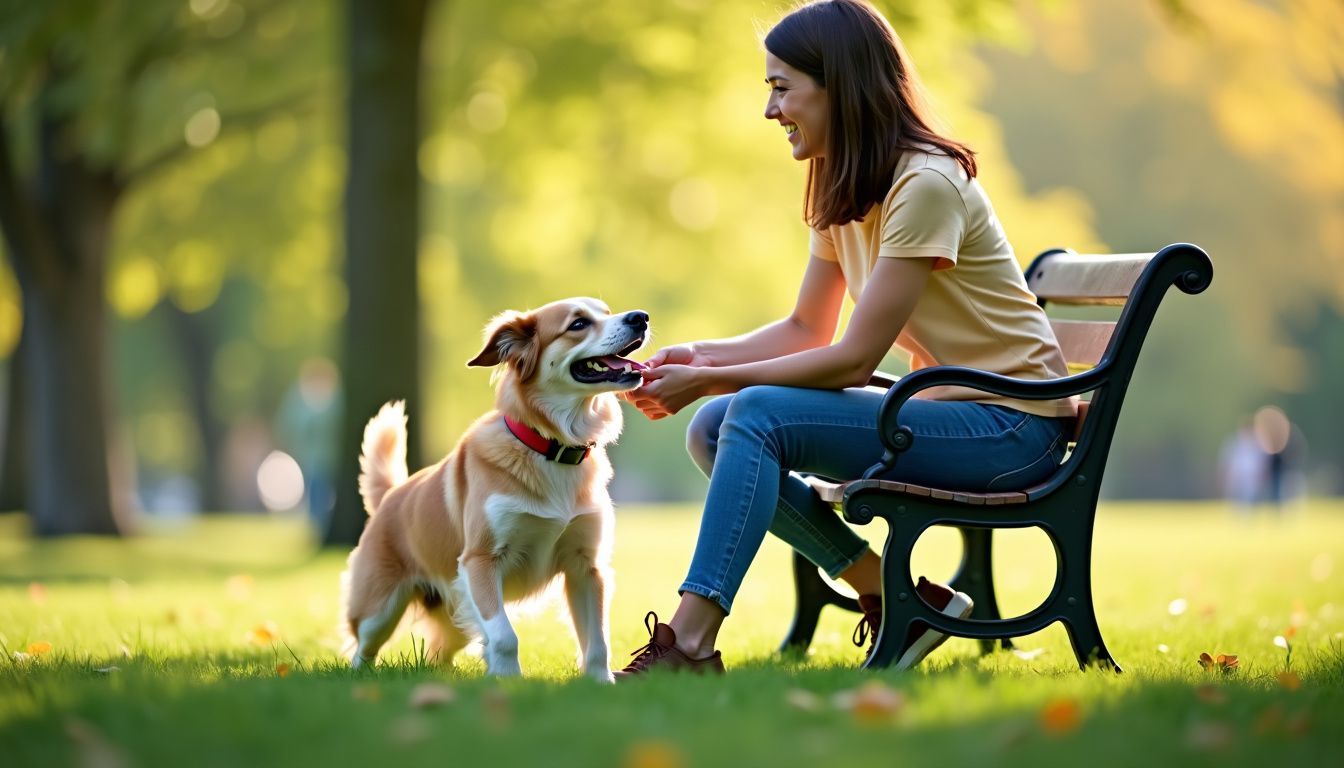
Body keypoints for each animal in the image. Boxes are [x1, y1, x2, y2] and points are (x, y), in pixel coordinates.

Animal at [341, 297, 645, 683]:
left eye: (606, 312)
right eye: (578, 324)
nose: (641, 318)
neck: (552, 447)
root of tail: (390, 497)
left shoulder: (585, 566)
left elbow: (598, 641)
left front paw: (600, 684)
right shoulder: (481, 560)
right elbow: (503, 634)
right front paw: (508, 680)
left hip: (454, 617)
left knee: (437, 653)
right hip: (379, 609)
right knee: (362, 649)